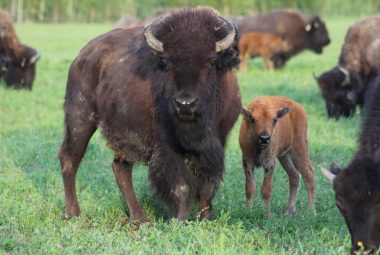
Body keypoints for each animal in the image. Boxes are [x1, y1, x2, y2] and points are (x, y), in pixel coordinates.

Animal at [59, 7, 242, 223]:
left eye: (212, 62)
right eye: (167, 63)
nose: (185, 104)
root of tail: (81, 57)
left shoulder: (216, 143)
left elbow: (206, 185)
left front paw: (205, 219)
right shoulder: (167, 147)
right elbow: (181, 186)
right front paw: (179, 221)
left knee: (120, 169)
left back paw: (139, 219)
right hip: (80, 118)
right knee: (69, 159)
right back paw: (73, 213)